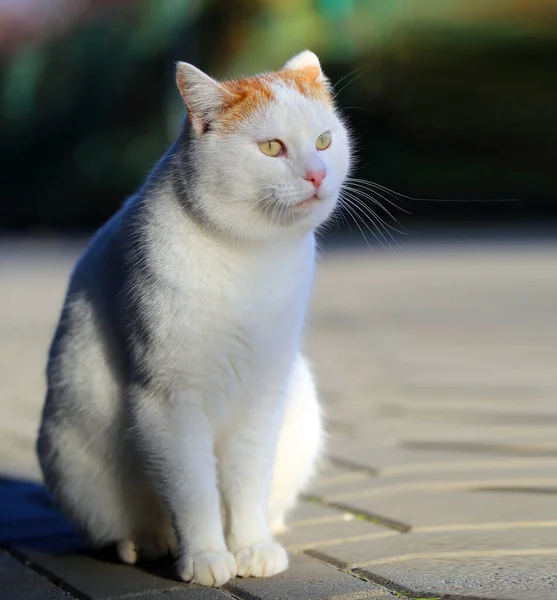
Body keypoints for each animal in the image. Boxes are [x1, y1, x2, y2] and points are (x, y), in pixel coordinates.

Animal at [37, 50, 352, 584]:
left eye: (324, 141)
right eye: (272, 147)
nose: (317, 175)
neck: (251, 258)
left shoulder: (262, 392)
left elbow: (247, 482)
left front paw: (251, 547)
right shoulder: (168, 401)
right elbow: (193, 491)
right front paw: (205, 556)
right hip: (72, 457)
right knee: (129, 521)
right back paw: (146, 543)